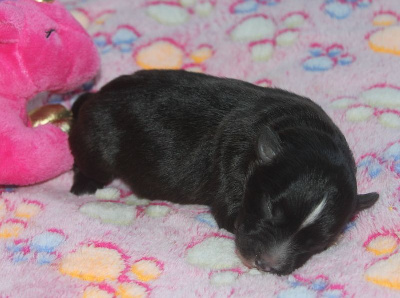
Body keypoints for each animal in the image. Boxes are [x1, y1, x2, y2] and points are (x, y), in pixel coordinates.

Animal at [69, 70, 378, 274]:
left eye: (320, 242)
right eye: (268, 208)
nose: (266, 265)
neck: (296, 129)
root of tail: (96, 96)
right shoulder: (229, 176)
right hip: (98, 141)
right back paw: (83, 184)